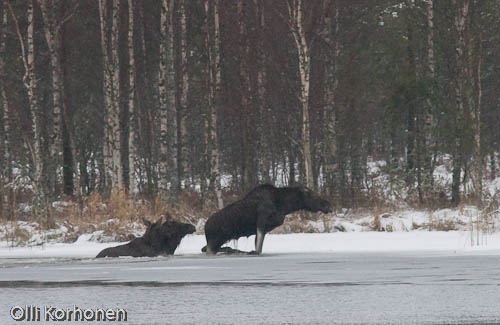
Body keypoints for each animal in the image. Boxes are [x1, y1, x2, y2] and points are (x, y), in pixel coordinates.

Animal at [203, 184, 332, 254]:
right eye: (313, 195)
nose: (328, 205)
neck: (284, 206)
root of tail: (205, 227)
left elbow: (258, 247)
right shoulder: (262, 221)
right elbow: (258, 249)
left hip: (218, 240)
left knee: (205, 248)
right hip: (215, 241)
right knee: (207, 250)